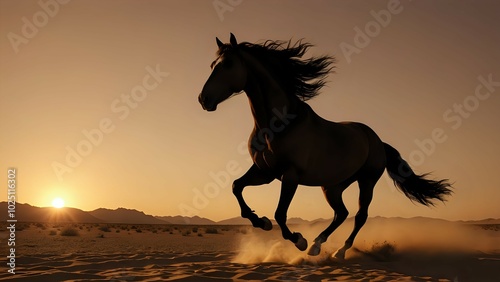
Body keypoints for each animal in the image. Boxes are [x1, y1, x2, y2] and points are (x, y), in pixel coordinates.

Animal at [196, 33, 454, 260]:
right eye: (211, 64)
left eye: (228, 64)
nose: (203, 99)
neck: (279, 124)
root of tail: (378, 141)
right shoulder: (265, 172)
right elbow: (236, 187)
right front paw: (262, 222)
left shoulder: (290, 175)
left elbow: (280, 213)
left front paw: (299, 240)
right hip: (333, 186)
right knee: (341, 213)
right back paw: (317, 245)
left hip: (366, 181)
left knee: (359, 216)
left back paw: (338, 251)